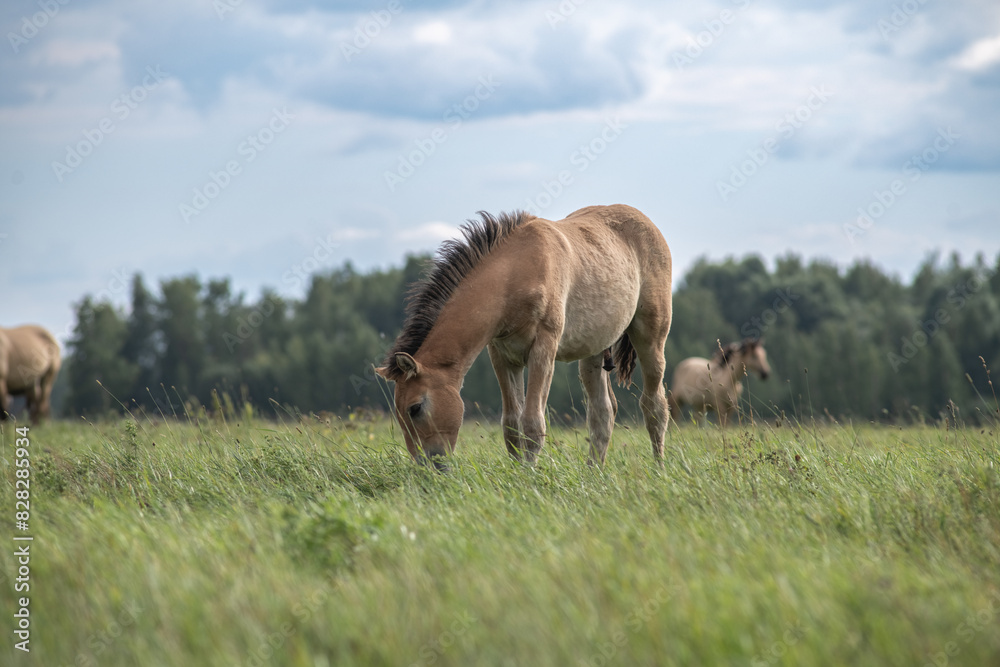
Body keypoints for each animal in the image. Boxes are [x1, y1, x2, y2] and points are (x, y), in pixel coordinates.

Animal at [376, 204, 673, 468]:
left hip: (650, 339)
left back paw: (659, 467)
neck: (515, 275)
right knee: (603, 412)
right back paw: (593, 473)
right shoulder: (502, 356)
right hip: (593, 353)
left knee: (654, 406)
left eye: (415, 408)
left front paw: (530, 476)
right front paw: (518, 474)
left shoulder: (543, 350)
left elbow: (532, 423)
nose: (428, 466)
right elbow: (511, 425)